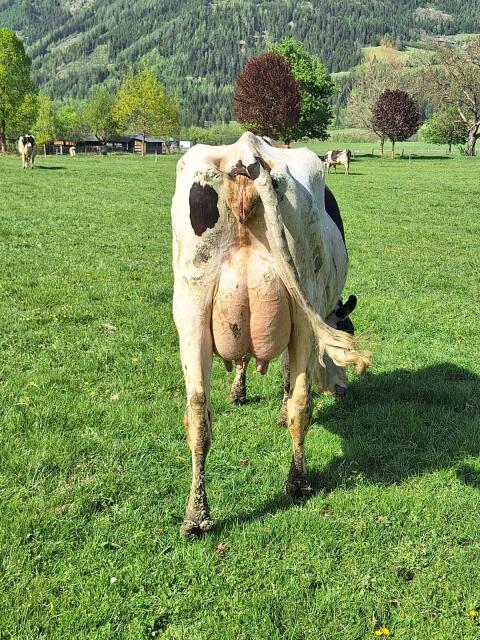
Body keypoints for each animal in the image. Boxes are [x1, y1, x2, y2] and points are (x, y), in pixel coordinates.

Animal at [171, 132, 370, 537]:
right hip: (303, 309)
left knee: (197, 410)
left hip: (190, 308)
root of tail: (248, 153)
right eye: (347, 327)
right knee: (301, 402)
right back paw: (298, 481)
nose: (342, 389)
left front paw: (238, 391)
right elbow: (286, 374)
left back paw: (196, 516)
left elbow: (245, 358)